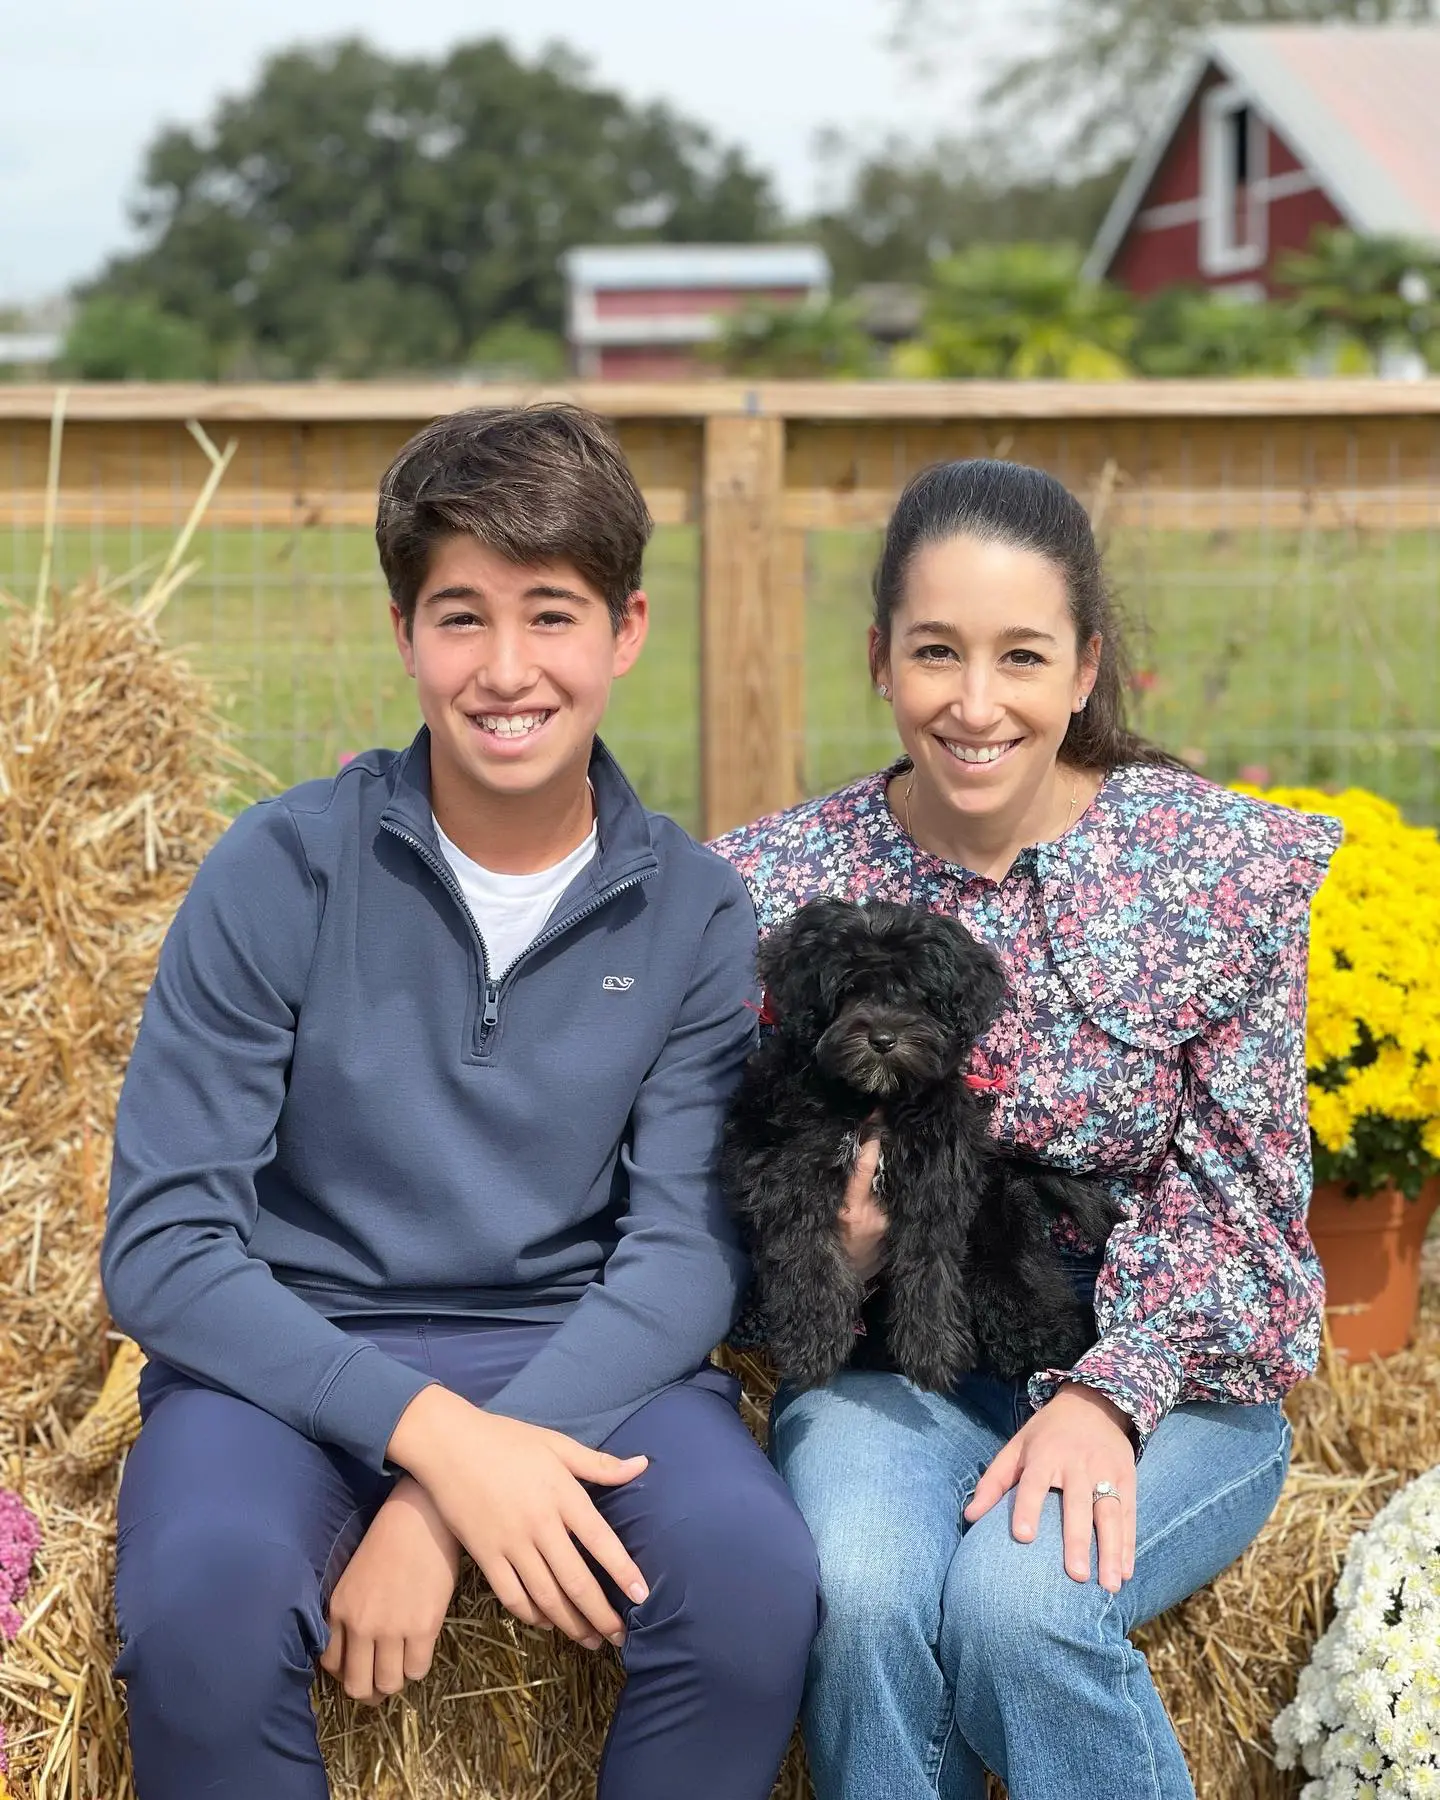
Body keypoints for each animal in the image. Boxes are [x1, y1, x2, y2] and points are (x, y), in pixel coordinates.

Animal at [720, 900, 1123, 1389]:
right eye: (850, 988)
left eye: (920, 993)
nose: (883, 1039)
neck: (874, 1099)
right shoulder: (783, 1170)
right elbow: (806, 1251)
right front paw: (814, 1341)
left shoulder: (937, 1173)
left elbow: (928, 1260)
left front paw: (930, 1348)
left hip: (999, 1225)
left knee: (1021, 1281)